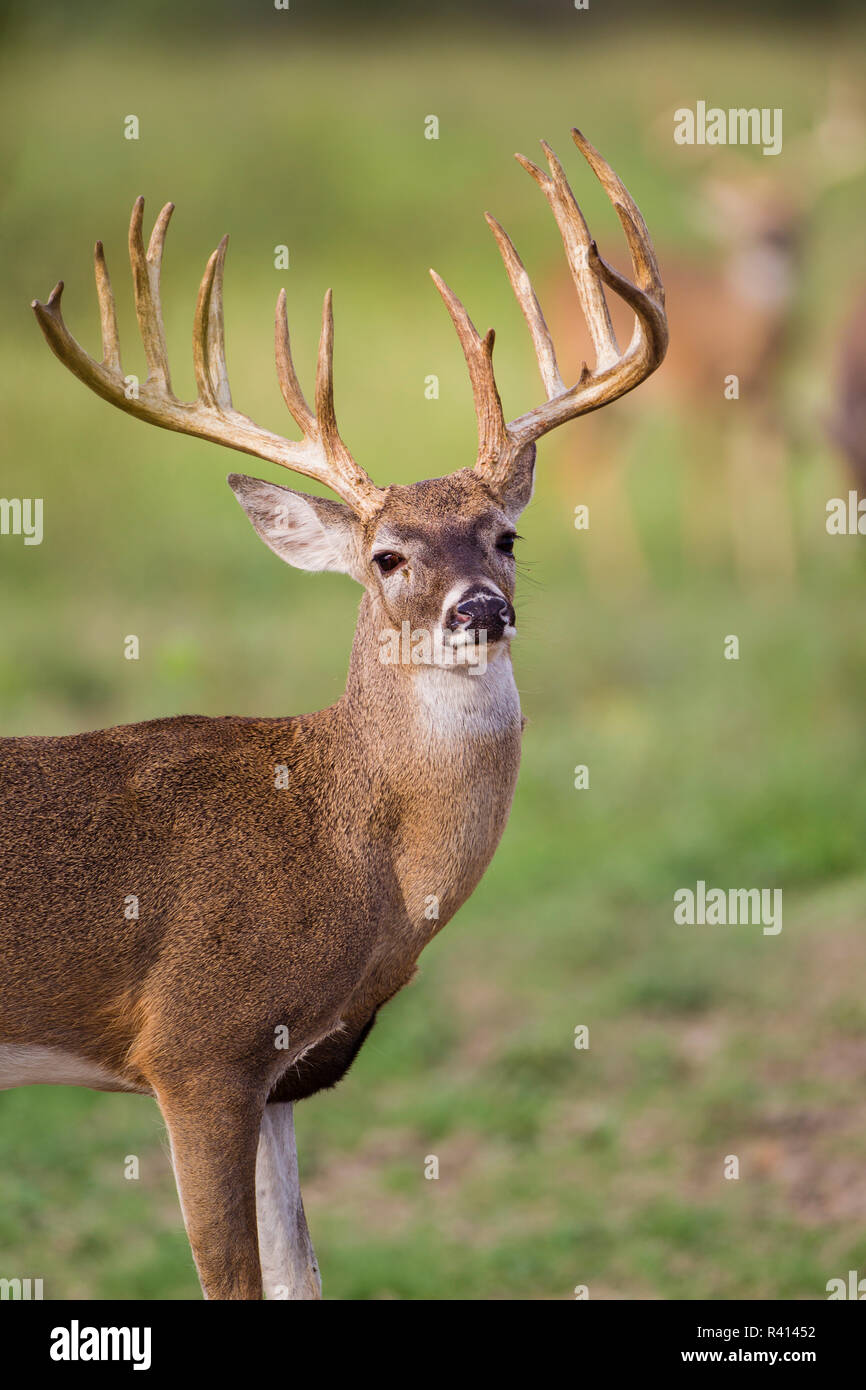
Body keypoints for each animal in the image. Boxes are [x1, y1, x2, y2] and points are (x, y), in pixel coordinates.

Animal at [0, 129, 667, 1300]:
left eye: (505, 537)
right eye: (387, 555)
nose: (480, 608)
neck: (350, 846)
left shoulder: (281, 1075)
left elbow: (300, 1274)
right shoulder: (196, 1045)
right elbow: (231, 1279)